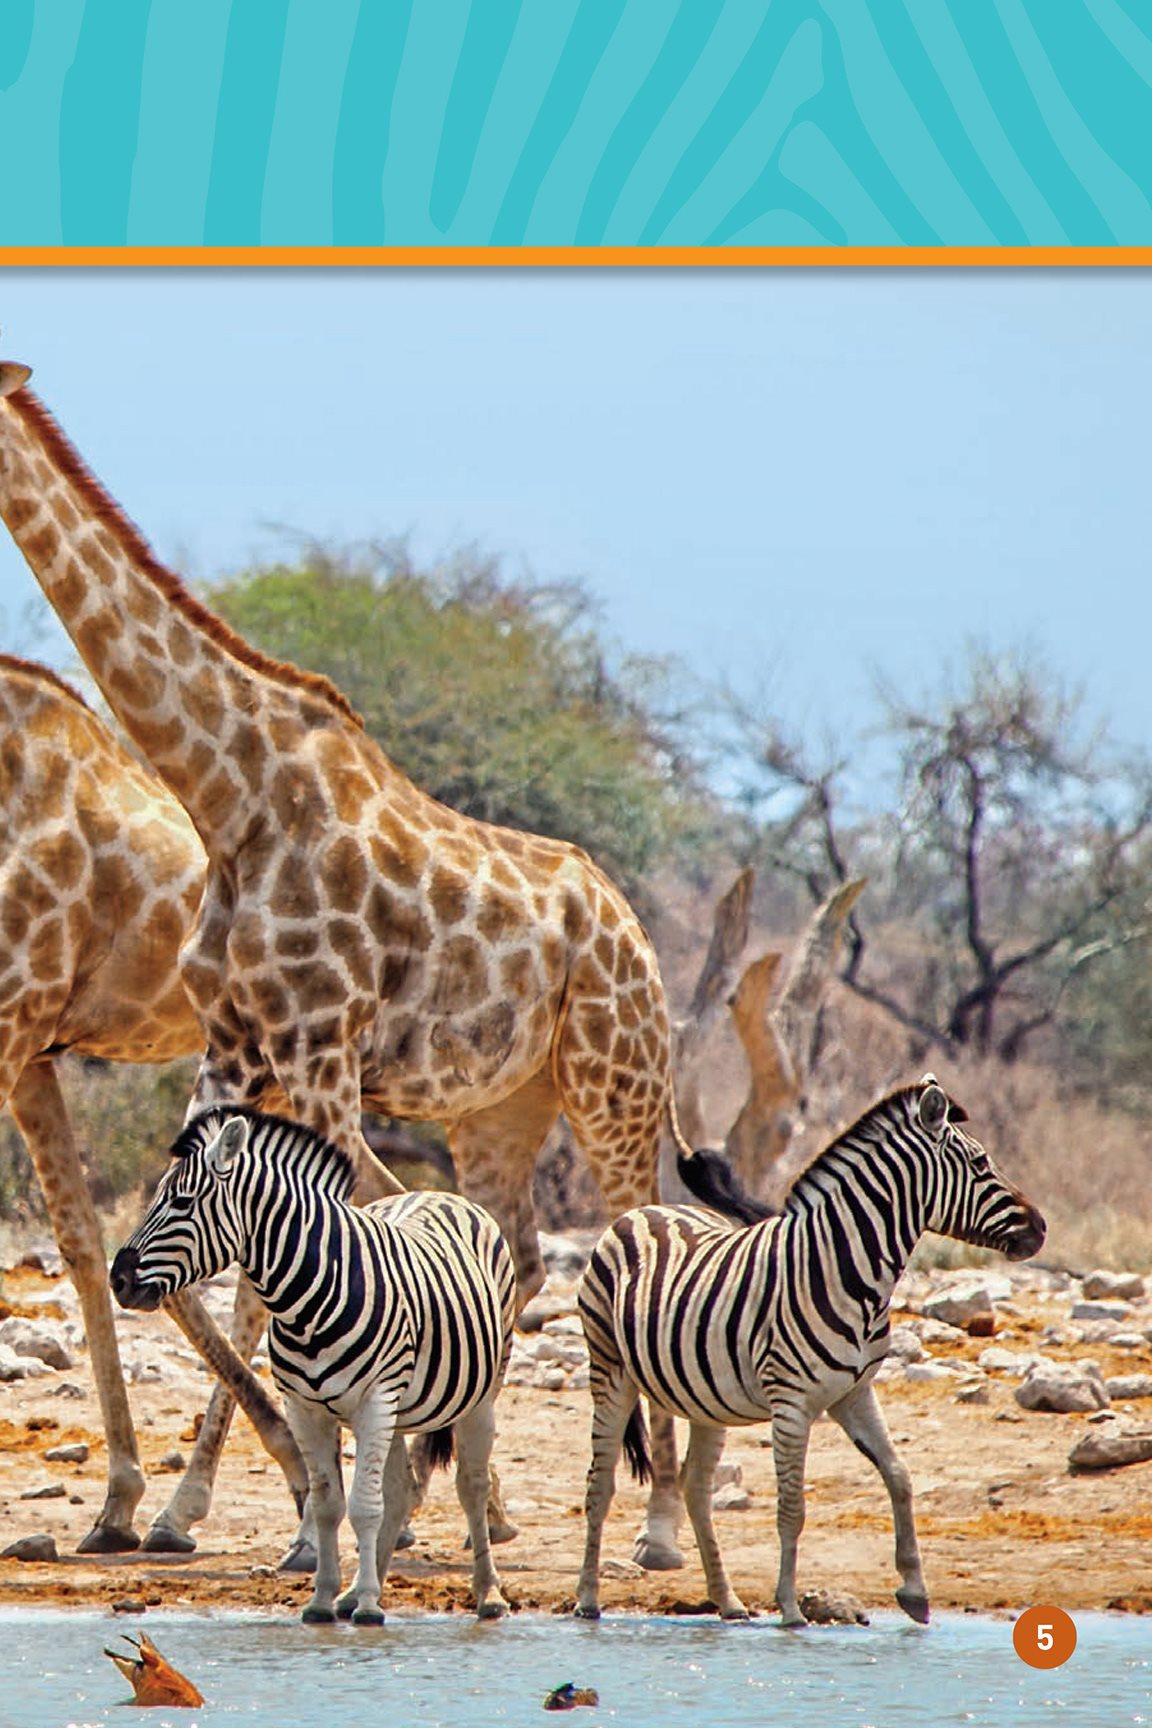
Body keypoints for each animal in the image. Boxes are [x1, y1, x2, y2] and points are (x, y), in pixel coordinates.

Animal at [112, 1112, 518, 1624]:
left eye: (182, 1203)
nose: (118, 1280)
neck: (305, 1301)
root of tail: (441, 1193)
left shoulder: (374, 1400)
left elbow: (364, 1507)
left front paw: (368, 1608)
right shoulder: (305, 1407)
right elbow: (329, 1504)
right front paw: (326, 1600)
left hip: (479, 1394)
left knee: (470, 1486)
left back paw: (488, 1595)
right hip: (399, 1409)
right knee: (400, 1489)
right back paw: (358, 1592)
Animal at [573, 1071, 1043, 1624]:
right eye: (981, 1164)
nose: (1041, 1228)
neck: (848, 1271)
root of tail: (645, 1209)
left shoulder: (855, 1392)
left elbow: (900, 1476)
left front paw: (914, 1590)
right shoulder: (792, 1400)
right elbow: (792, 1507)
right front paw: (791, 1608)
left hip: (704, 1398)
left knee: (696, 1487)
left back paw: (728, 1601)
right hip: (610, 1370)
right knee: (600, 1484)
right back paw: (587, 1599)